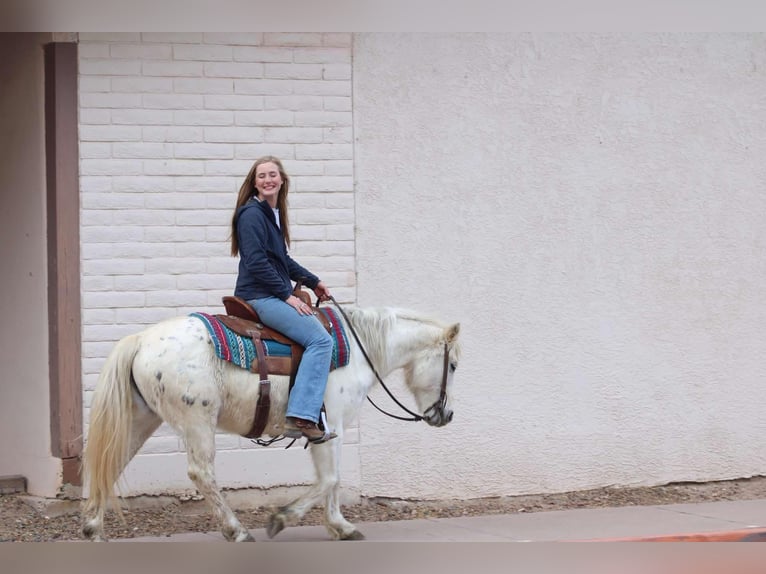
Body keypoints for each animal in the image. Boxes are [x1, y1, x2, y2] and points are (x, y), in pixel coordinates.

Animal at [82, 306, 462, 544]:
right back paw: (236, 531)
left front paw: (340, 527)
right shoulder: (331, 427)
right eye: (454, 365)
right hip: (197, 422)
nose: (446, 416)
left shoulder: (327, 430)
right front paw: (282, 518)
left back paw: (92, 529)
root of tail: (141, 340)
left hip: (142, 418)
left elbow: (334, 480)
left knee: (111, 464)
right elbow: (331, 479)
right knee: (201, 474)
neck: (357, 352)